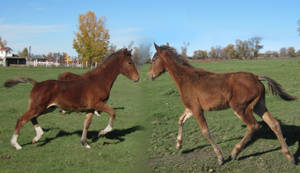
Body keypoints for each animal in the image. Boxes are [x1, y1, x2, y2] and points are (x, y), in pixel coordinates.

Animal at [3, 48, 139, 150]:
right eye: (129, 62)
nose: (137, 78)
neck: (99, 80)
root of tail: (37, 84)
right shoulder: (98, 104)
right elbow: (113, 113)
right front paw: (102, 132)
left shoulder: (90, 108)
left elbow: (86, 124)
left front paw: (85, 143)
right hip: (39, 107)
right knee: (22, 119)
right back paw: (16, 144)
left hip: (47, 108)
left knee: (32, 118)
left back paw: (38, 136)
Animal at [147, 43, 296, 165]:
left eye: (154, 59)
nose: (149, 76)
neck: (185, 79)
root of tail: (256, 77)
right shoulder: (191, 108)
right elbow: (180, 120)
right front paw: (178, 145)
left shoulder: (197, 109)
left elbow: (205, 131)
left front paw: (219, 157)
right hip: (259, 105)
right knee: (274, 124)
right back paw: (290, 157)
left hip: (241, 108)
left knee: (254, 126)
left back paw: (235, 152)